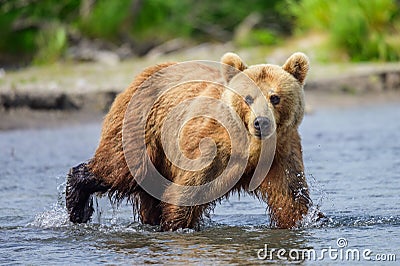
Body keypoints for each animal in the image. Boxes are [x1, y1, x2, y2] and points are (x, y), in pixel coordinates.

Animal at [65, 52, 310, 231]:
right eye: (248, 97)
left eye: (275, 97)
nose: (261, 122)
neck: (249, 146)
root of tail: (143, 73)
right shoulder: (210, 147)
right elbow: (187, 192)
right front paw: (176, 227)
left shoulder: (281, 154)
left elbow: (290, 198)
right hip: (141, 127)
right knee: (120, 167)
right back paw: (78, 207)